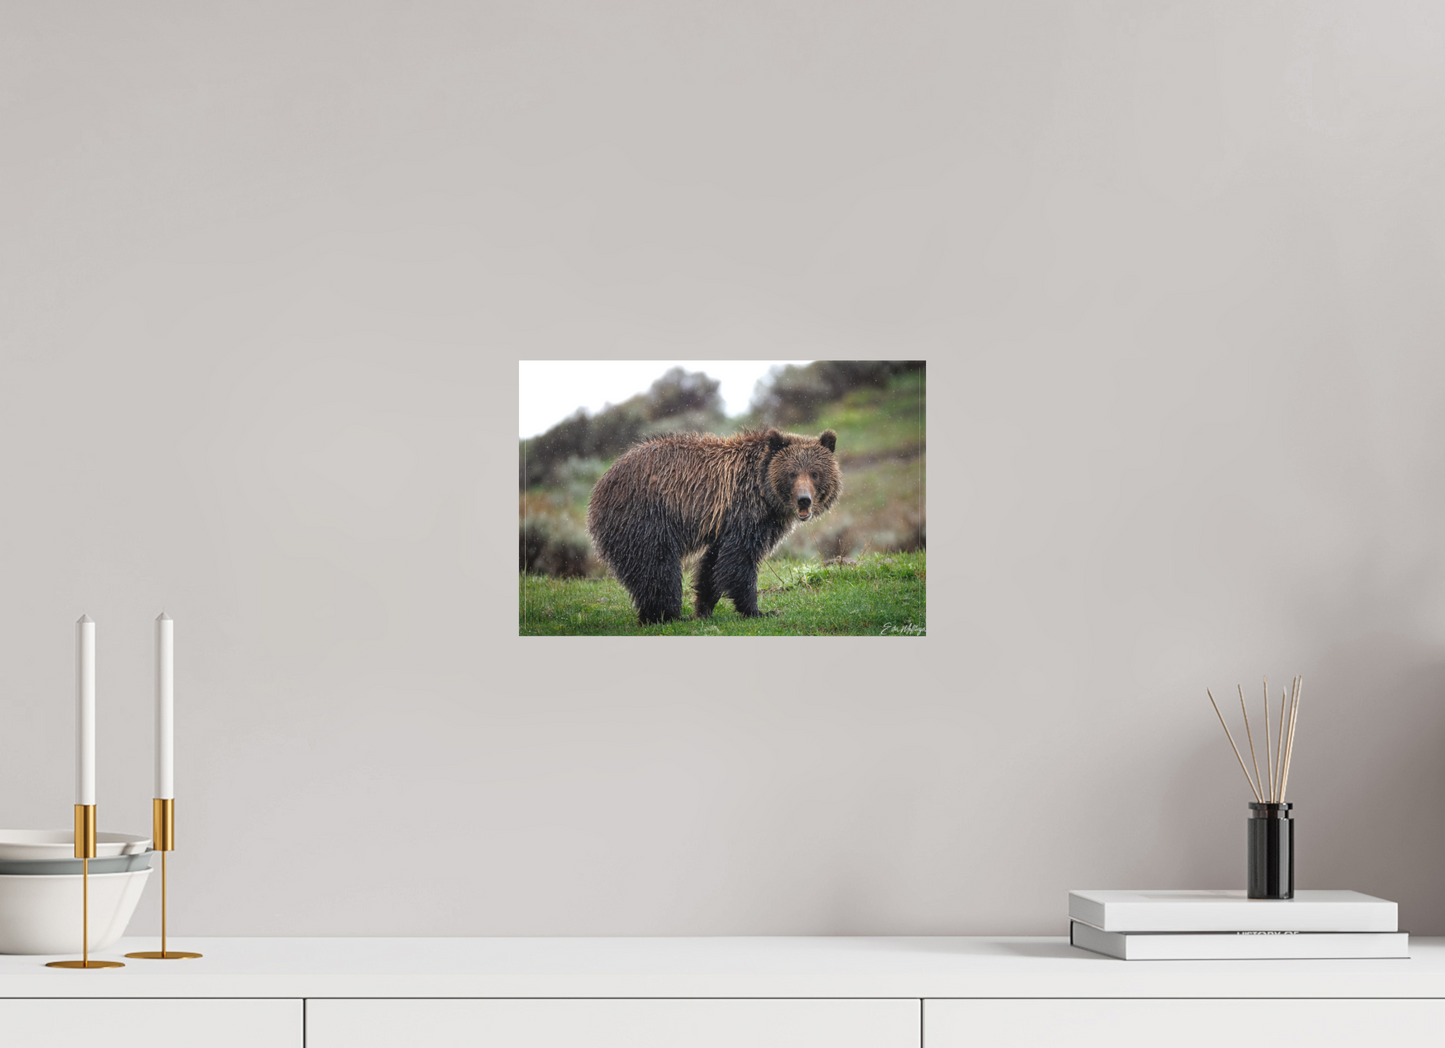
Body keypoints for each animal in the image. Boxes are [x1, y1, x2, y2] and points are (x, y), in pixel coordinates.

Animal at [586, 428, 842, 624]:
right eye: (792, 473)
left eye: (815, 473)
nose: (804, 500)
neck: (765, 493)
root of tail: (600, 486)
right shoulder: (745, 514)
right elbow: (739, 561)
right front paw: (758, 610)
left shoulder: (727, 524)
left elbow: (713, 564)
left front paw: (703, 608)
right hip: (646, 518)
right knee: (657, 568)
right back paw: (666, 616)